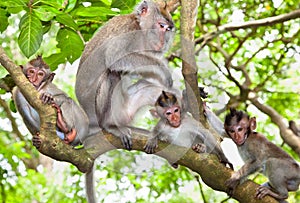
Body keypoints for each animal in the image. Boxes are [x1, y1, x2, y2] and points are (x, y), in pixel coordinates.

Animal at [75, 0, 176, 149]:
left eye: (168, 29)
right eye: (161, 26)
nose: (164, 42)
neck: (139, 27)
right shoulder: (128, 31)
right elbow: (114, 56)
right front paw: (163, 69)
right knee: (111, 73)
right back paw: (109, 126)